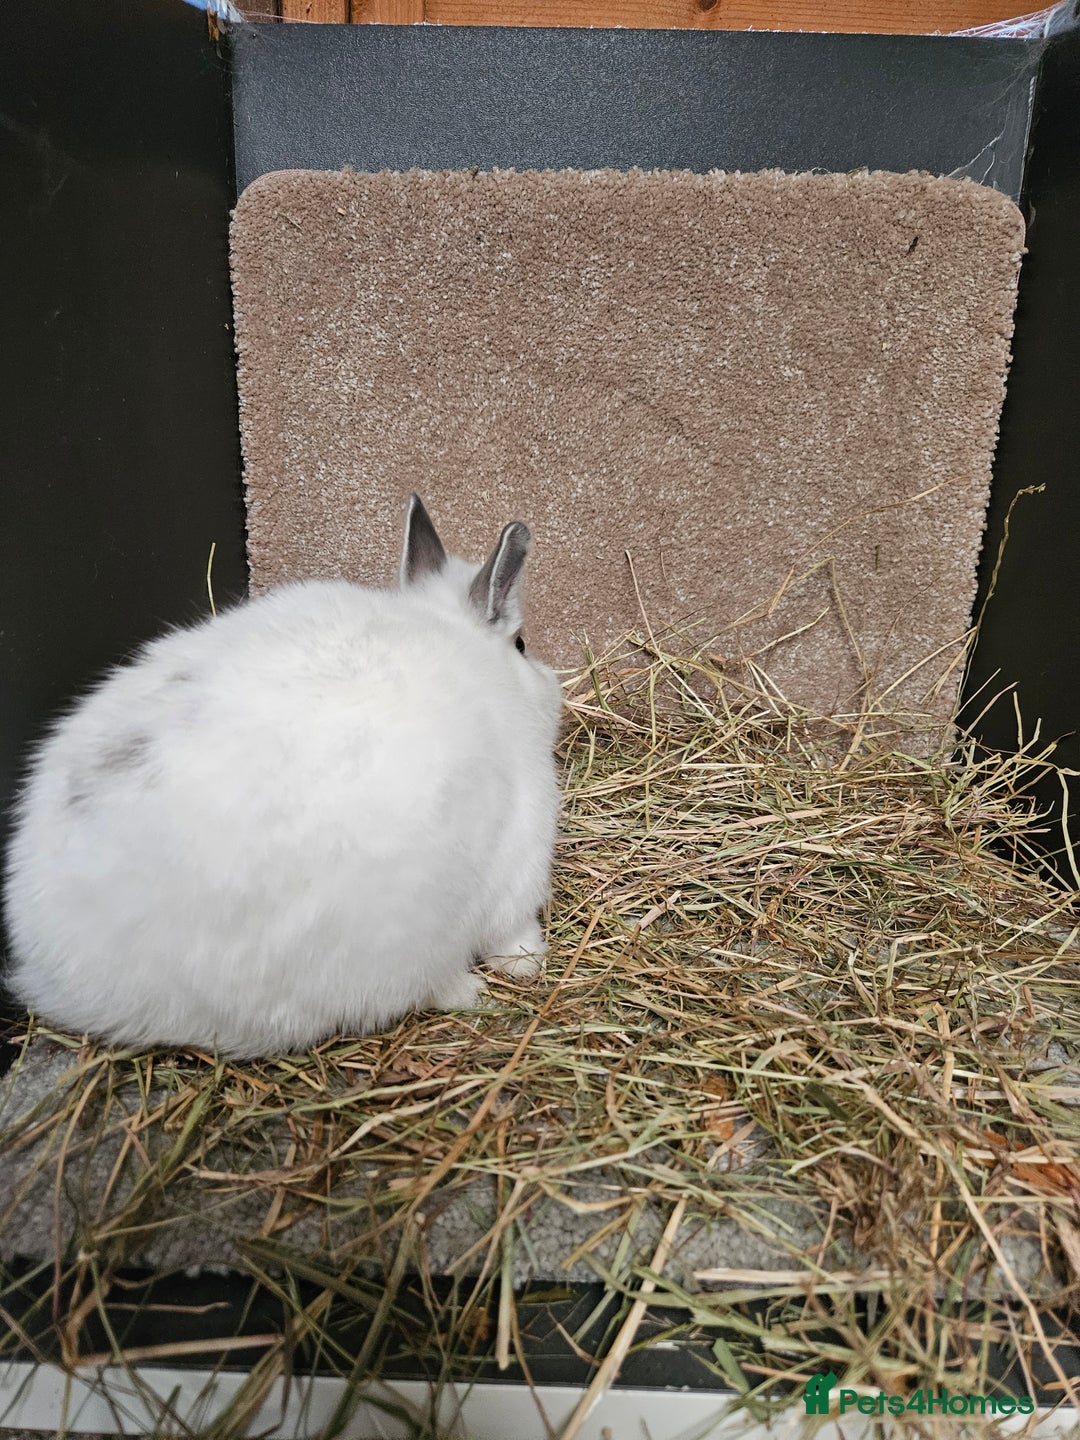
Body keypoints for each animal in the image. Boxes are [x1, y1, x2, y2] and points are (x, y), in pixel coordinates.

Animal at [2, 495, 562, 1058]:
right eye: (520, 643)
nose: (553, 686)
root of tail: (64, 968)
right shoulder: (517, 859)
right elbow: (510, 931)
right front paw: (529, 960)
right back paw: (472, 992)